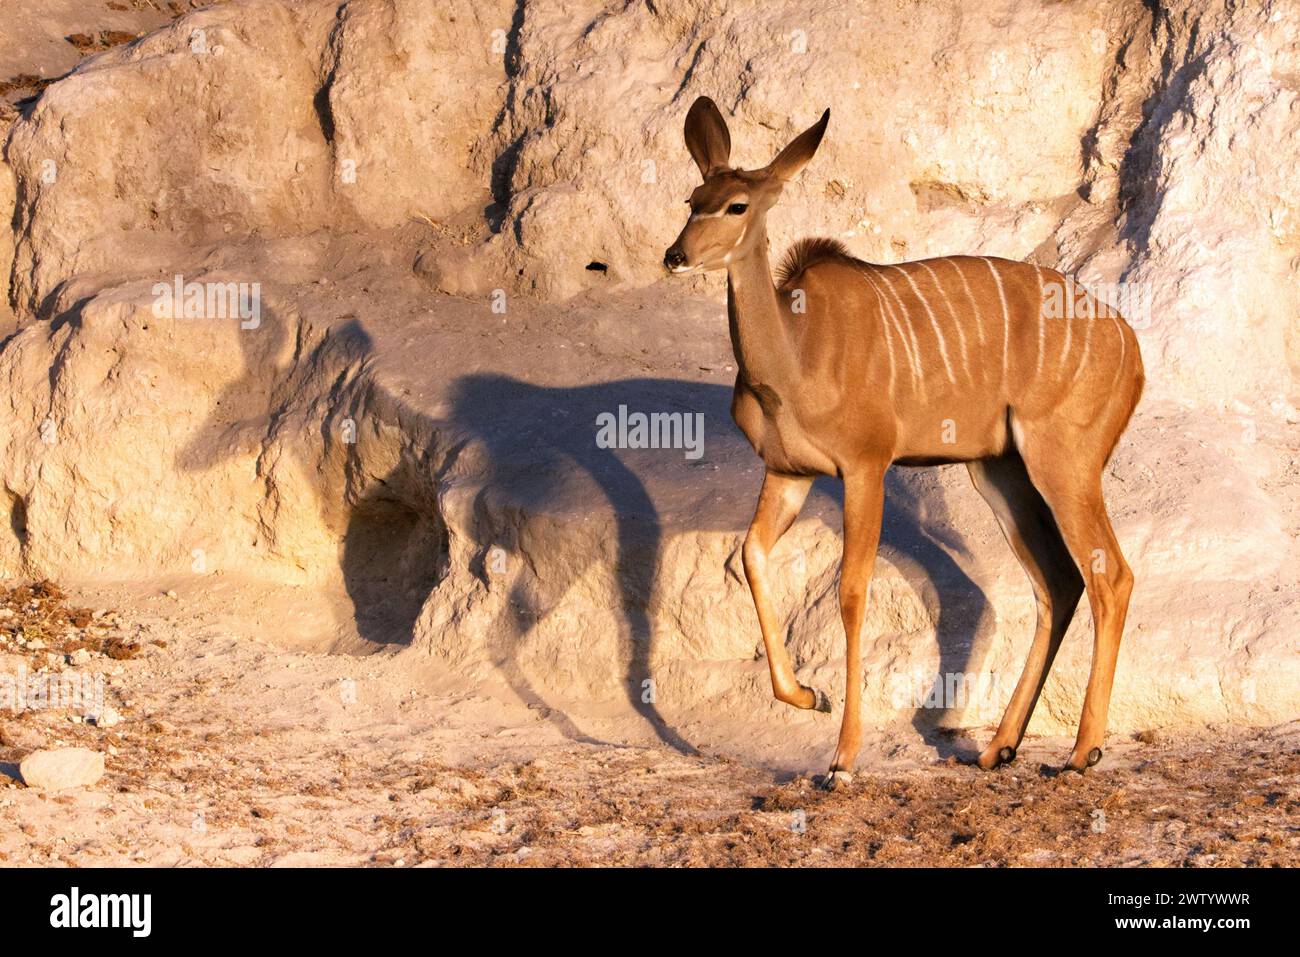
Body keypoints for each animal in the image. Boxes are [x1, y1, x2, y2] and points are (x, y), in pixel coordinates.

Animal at [665, 97, 1144, 790]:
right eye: (691, 198)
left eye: (736, 205)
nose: (675, 255)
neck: (795, 352)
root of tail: (1131, 349)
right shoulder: (789, 472)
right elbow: (749, 556)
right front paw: (808, 696)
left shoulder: (866, 466)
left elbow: (851, 593)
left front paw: (841, 759)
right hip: (998, 473)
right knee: (1058, 582)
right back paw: (999, 747)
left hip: (1065, 464)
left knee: (1111, 576)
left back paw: (1083, 752)